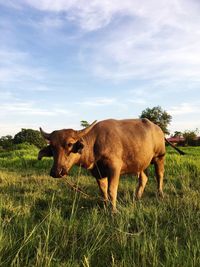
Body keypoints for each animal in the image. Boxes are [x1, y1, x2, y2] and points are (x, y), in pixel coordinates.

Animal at [38, 119, 184, 214]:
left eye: (69, 144)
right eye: (52, 147)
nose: (56, 172)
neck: (95, 144)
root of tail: (158, 128)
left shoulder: (114, 168)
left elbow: (111, 190)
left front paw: (113, 211)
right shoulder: (97, 172)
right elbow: (103, 191)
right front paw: (105, 205)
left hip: (160, 157)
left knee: (159, 175)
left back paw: (160, 194)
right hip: (142, 162)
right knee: (144, 178)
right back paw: (137, 197)